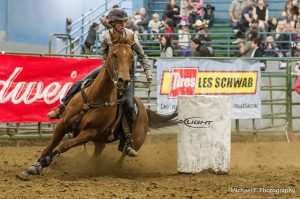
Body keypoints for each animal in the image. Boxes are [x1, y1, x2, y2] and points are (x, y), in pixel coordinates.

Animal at [17, 30, 150, 180]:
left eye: (131, 57)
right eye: (114, 54)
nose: (124, 80)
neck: (93, 98)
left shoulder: (89, 133)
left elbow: (62, 147)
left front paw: (43, 164)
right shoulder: (63, 124)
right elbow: (49, 147)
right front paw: (32, 168)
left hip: (136, 141)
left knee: (122, 156)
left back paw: (116, 165)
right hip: (100, 141)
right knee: (97, 154)